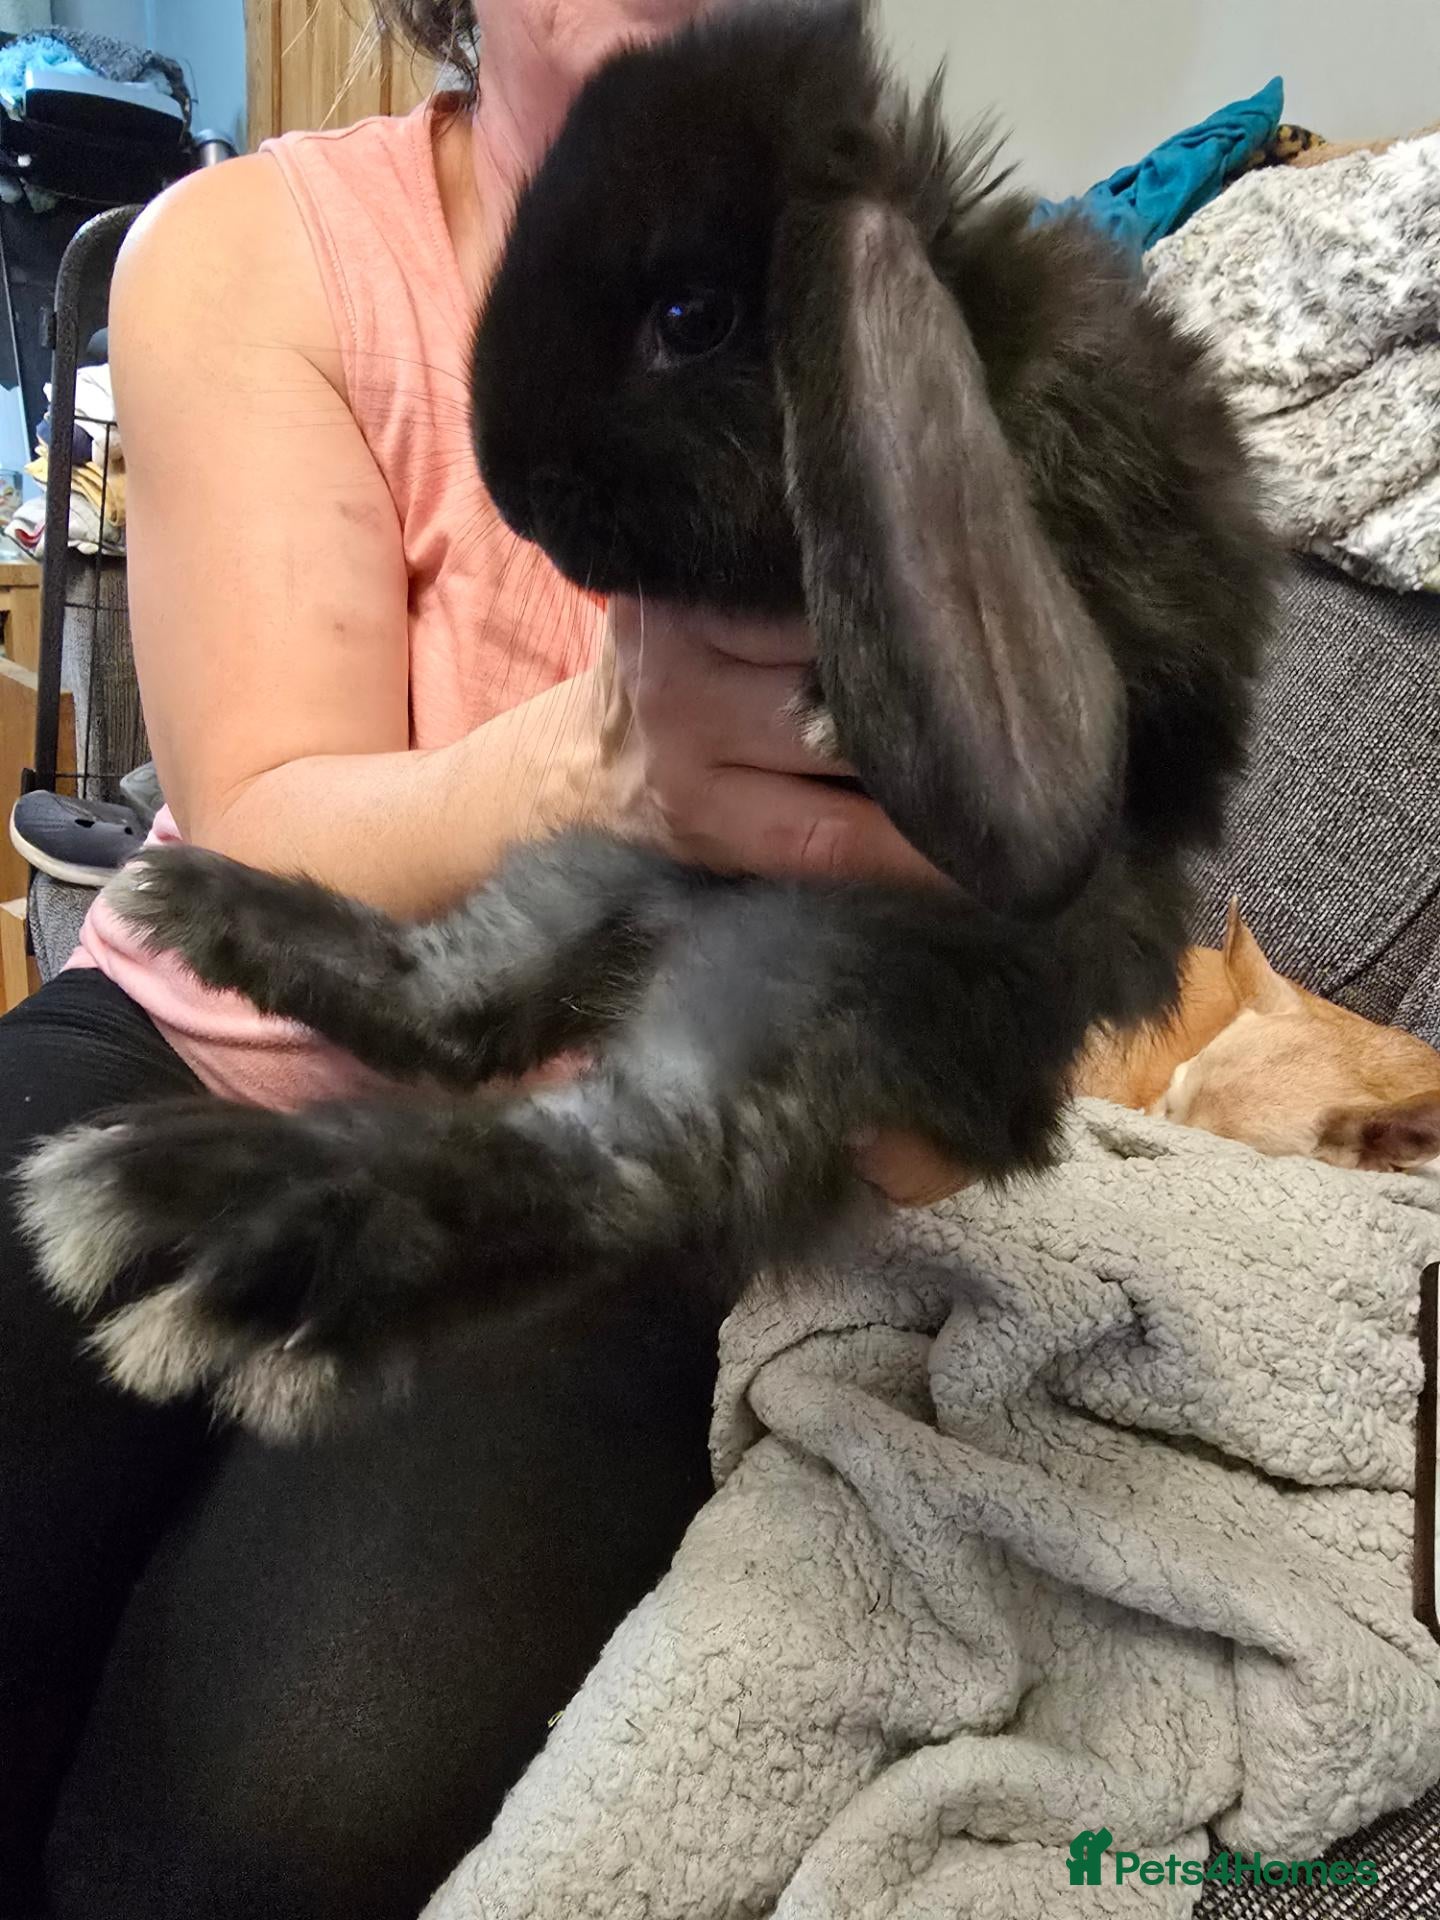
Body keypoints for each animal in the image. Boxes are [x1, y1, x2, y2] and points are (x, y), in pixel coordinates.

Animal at [18, 0, 1272, 1441]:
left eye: (692, 315)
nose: (518, 489)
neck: (974, 328)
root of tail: (662, 934)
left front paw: (830, 712)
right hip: (596, 868)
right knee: (455, 1009)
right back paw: (197, 936)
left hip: (819, 976)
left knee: (605, 1168)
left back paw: (214, 1235)